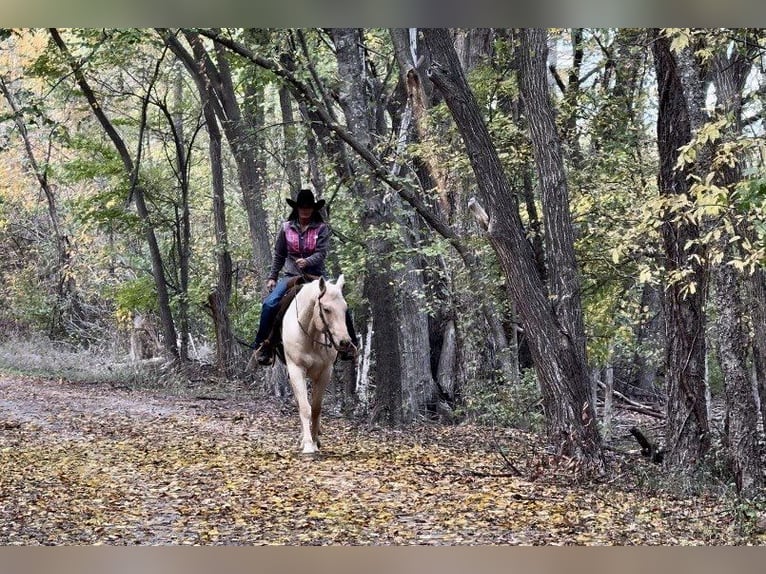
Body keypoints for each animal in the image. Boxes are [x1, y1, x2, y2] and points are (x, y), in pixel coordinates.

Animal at [280, 274, 356, 454]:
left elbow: (316, 409)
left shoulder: (325, 373)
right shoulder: (296, 370)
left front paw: (315, 441)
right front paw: (307, 444)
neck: (311, 337)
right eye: (326, 309)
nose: (344, 342)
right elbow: (304, 408)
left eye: (345, 309)